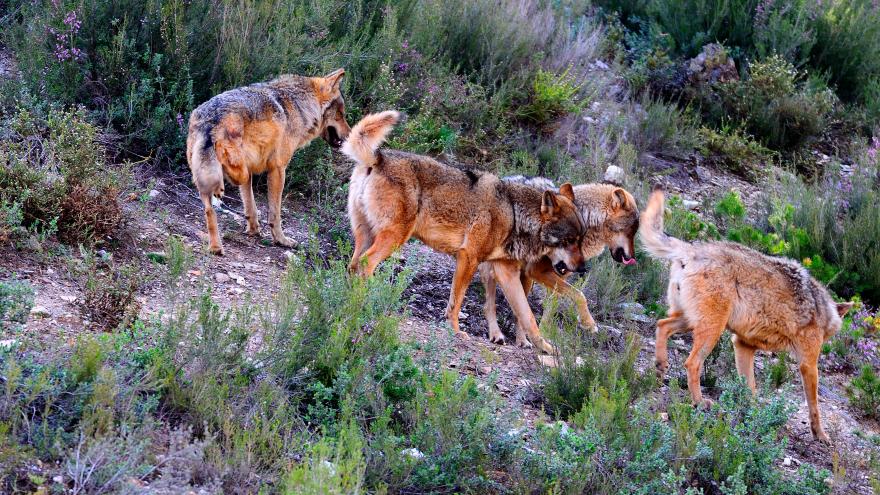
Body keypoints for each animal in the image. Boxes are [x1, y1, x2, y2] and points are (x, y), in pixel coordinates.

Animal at [186, 69, 351, 255]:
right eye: (341, 115)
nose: (350, 136)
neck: (301, 105)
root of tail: (210, 119)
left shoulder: (252, 171)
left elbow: (250, 206)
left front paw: (253, 230)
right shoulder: (278, 169)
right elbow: (275, 213)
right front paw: (281, 240)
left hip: (205, 176)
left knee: (209, 210)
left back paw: (215, 247)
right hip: (234, 166)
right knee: (233, 176)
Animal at [342, 111, 588, 354]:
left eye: (580, 239)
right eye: (569, 240)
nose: (583, 269)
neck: (513, 214)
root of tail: (378, 157)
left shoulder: (505, 272)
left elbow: (527, 316)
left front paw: (544, 346)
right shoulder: (469, 257)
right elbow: (457, 301)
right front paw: (456, 331)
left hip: (367, 237)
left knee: (353, 266)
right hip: (394, 239)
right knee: (365, 264)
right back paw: (369, 299)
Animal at [480, 180, 639, 346]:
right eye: (631, 231)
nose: (632, 257)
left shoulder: (560, 275)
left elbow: (551, 307)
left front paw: (544, 334)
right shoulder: (538, 272)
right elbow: (580, 295)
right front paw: (589, 324)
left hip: (525, 277)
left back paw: (523, 341)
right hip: (497, 271)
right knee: (489, 305)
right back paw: (496, 335)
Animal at [640, 186, 852, 443]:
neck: (823, 309)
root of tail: (691, 250)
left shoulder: (743, 346)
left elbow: (749, 389)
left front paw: (754, 417)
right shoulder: (808, 363)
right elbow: (814, 405)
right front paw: (820, 434)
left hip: (690, 322)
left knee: (661, 325)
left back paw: (660, 367)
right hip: (711, 331)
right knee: (691, 363)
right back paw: (699, 402)